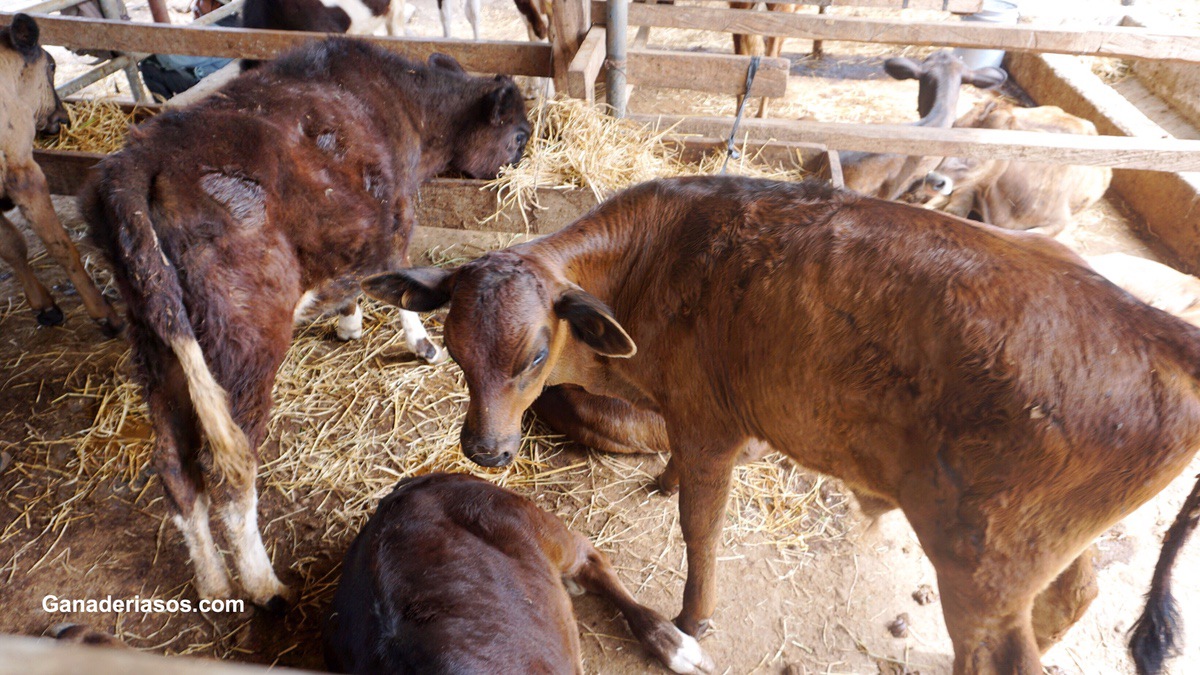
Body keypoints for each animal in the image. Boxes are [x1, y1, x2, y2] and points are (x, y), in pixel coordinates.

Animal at [82, 36, 532, 607]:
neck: (405, 102)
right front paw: (420, 344)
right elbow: (396, 275)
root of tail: (137, 161)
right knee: (229, 474)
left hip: (156, 344)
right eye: (518, 135)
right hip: (244, 342)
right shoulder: (397, 214)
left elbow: (353, 280)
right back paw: (263, 586)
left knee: (175, 470)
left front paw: (348, 324)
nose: (521, 161)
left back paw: (211, 584)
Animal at [362, 176, 1200, 667]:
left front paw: (692, 620)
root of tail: (1157, 326)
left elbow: (701, 529)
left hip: (981, 569)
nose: (485, 447)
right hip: (1040, 549)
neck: (653, 262)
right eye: (455, 345)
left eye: (535, 351)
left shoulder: (711, 425)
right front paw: (661, 482)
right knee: (1074, 593)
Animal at [902, 99, 1108, 236]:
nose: (933, 180)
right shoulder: (972, 188)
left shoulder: (1059, 223)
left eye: (990, 148)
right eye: (954, 128)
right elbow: (953, 210)